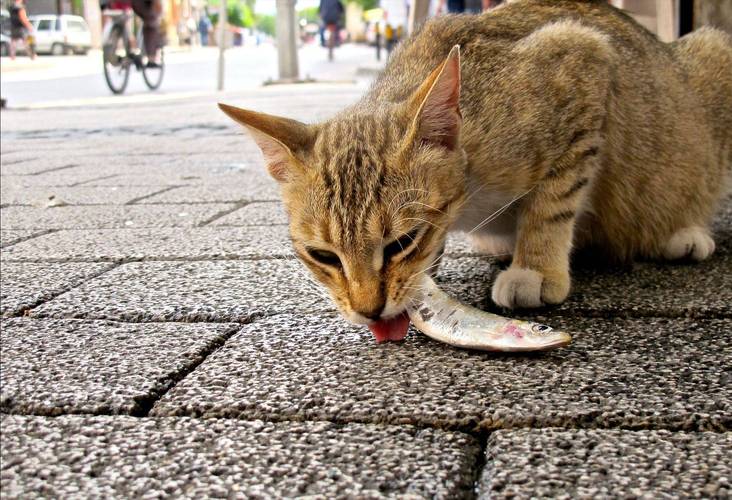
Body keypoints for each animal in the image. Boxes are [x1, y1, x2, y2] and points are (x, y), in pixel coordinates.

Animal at [219, 0, 732, 340]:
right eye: (323, 256)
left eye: (401, 242)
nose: (370, 312)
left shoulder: (583, 56)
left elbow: (553, 201)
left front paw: (535, 267)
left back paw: (684, 233)